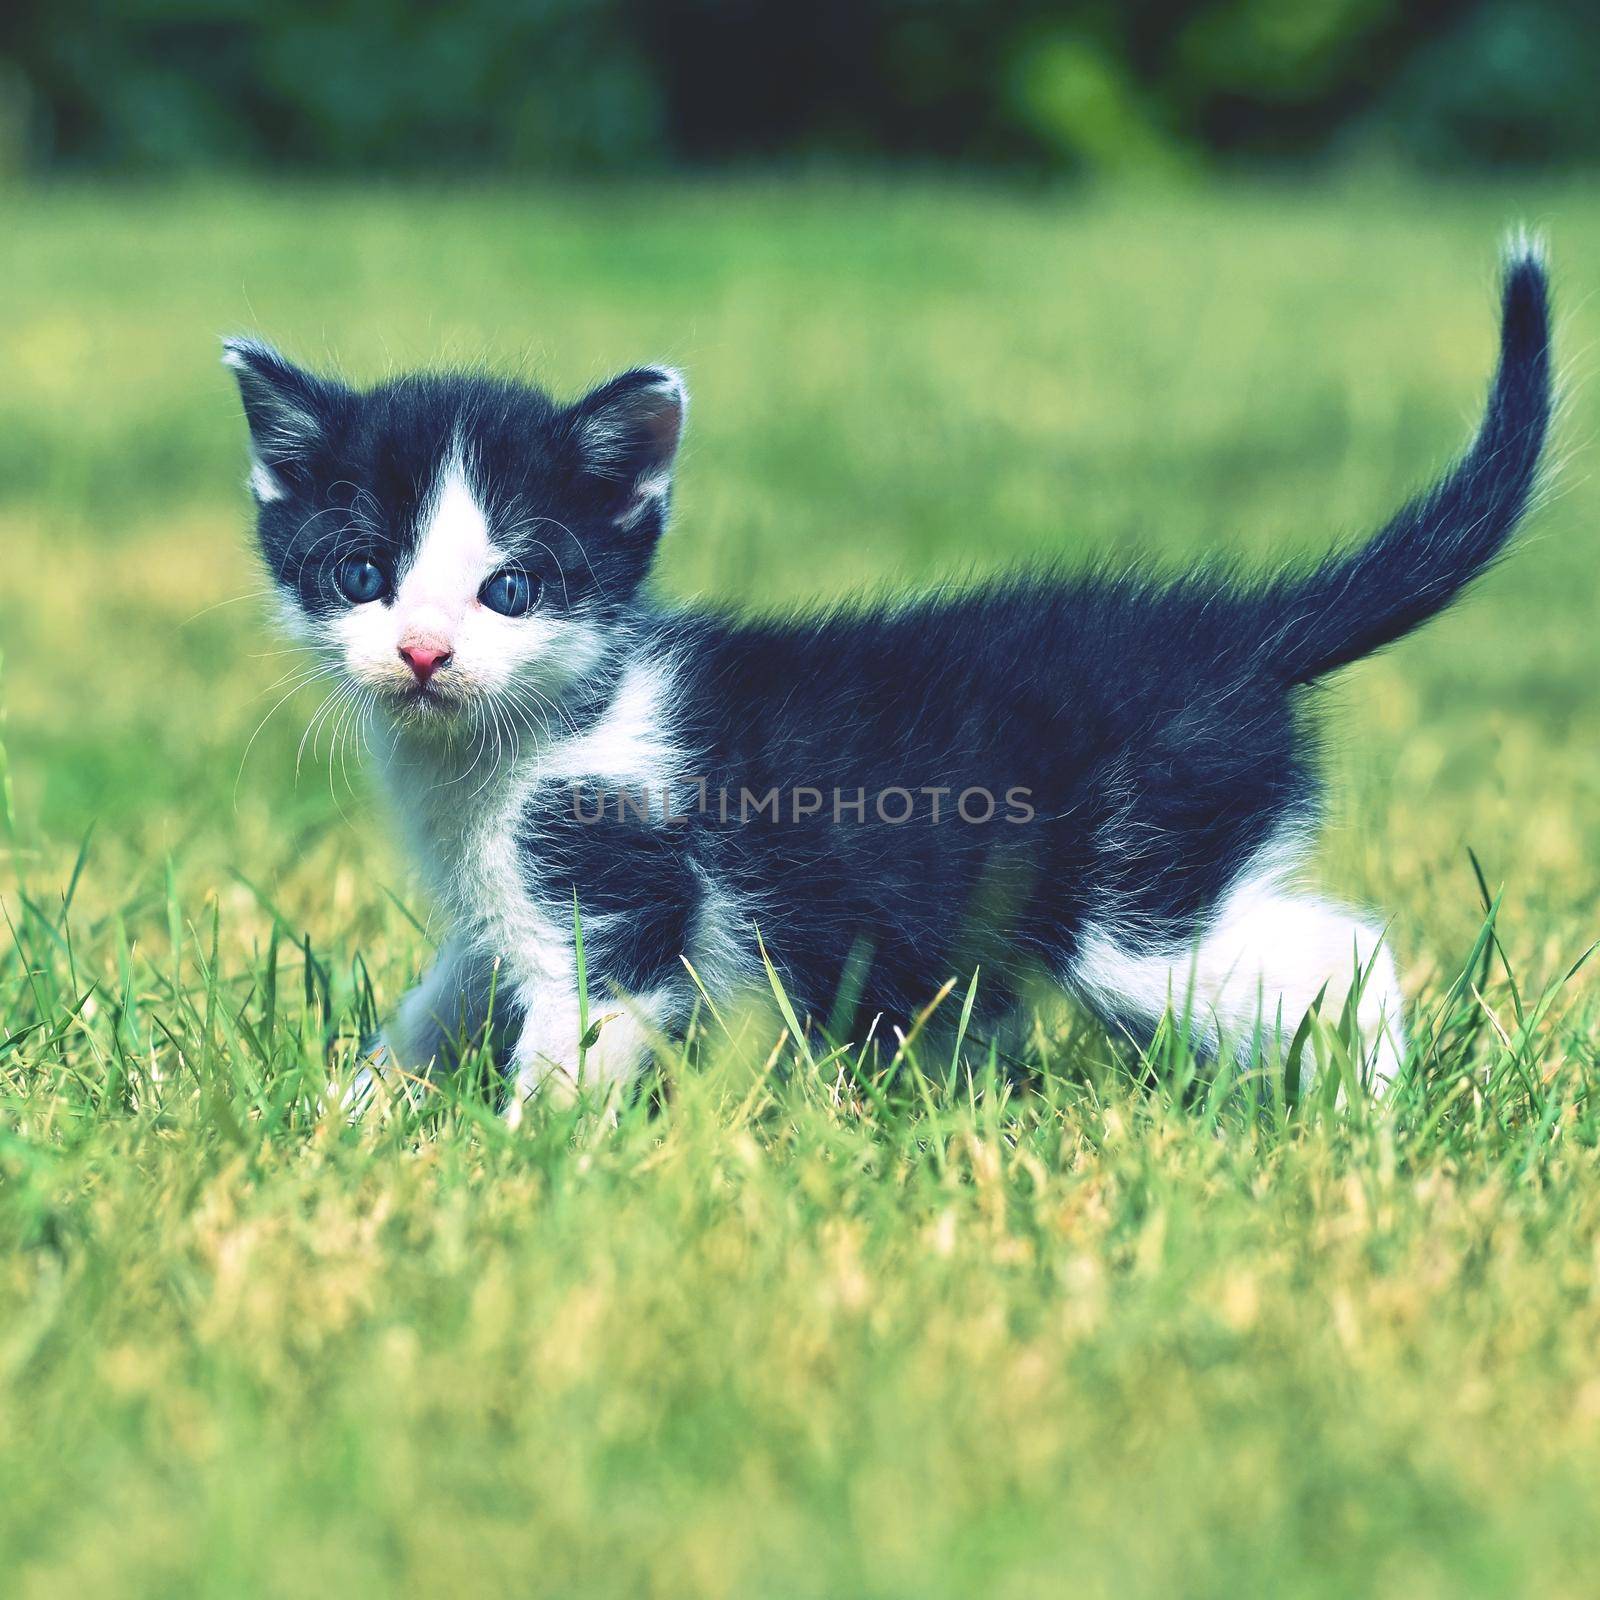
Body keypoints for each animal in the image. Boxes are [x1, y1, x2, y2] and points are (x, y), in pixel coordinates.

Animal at [225, 246, 1548, 1113]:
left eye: (509, 588)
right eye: (361, 572)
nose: (423, 651)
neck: (517, 742)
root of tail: (1234, 636)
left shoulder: (618, 892)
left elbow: (580, 1040)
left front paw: (521, 1166)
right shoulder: (499, 911)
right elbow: (443, 1000)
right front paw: (355, 1111)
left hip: (1138, 901)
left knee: (1340, 954)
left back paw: (1367, 1116)